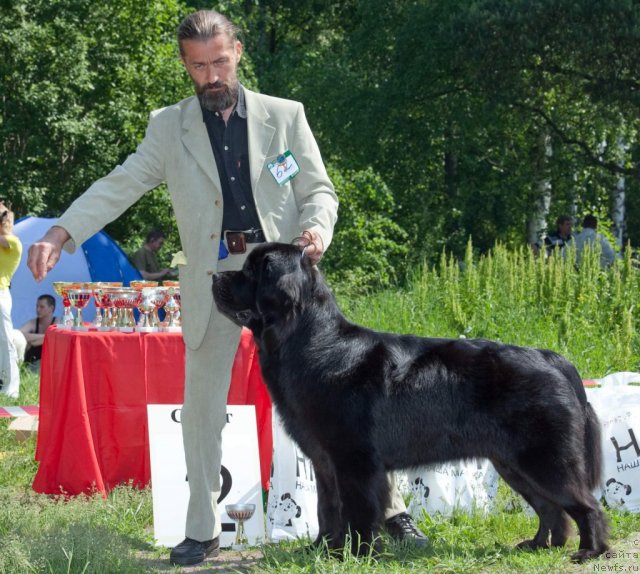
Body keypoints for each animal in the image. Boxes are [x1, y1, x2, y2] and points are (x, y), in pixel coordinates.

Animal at [211, 242, 608, 564]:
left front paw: (360, 554)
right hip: (513, 463)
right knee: (551, 508)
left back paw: (590, 551)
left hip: (545, 459)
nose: (214, 276)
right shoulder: (325, 462)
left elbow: (358, 512)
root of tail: (555, 359)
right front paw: (325, 550)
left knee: (586, 505)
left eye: (251, 272)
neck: (312, 344)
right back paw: (541, 545)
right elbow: (327, 508)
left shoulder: (355, 460)